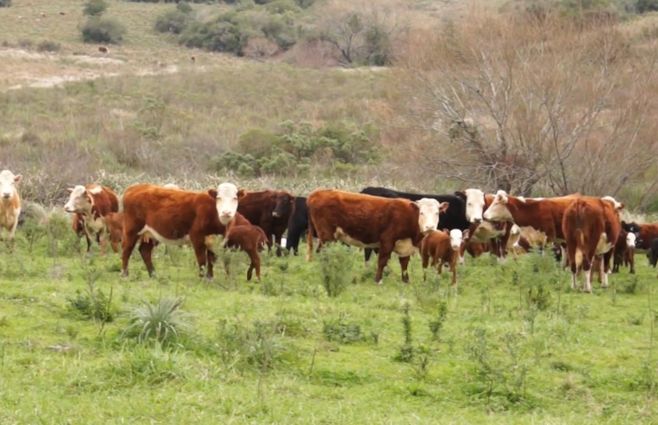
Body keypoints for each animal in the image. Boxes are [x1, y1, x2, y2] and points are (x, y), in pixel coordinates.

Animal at [307, 189, 447, 284]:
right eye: (421, 213)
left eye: (437, 213)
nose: (430, 227)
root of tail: (316, 193)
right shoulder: (387, 240)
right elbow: (382, 261)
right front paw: (378, 280)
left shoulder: (405, 245)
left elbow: (404, 263)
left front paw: (406, 281)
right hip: (326, 235)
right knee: (322, 252)